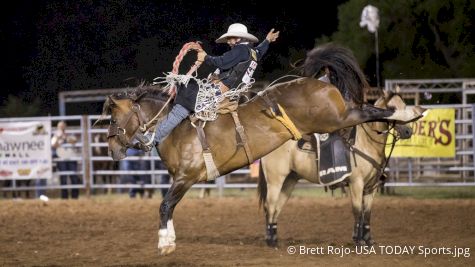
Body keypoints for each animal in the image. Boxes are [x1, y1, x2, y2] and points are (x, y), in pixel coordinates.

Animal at [258, 90, 414, 249]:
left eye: (405, 106)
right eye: (392, 108)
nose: (408, 131)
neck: (366, 142)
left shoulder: (371, 187)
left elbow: (367, 214)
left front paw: (369, 241)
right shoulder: (356, 184)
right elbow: (358, 212)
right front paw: (358, 241)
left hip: (289, 180)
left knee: (277, 208)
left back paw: (274, 238)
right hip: (275, 181)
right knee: (270, 206)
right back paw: (271, 242)